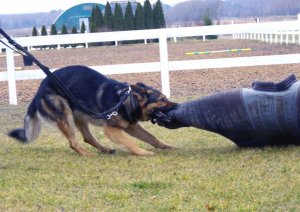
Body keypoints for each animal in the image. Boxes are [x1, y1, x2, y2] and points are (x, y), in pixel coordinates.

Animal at [8, 65, 178, 157]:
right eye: (162, 99)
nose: (177, 106)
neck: (126, 100)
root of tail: (39, 90)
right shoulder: (112, 130)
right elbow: (130, 142)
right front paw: (142, 152)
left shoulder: (132, 127)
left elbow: (152, 137)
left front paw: (167, 146)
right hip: (66, 115)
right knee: (73, 142)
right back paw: (86, 154)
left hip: (79, 116)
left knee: (87, 138)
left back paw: (105, 150)